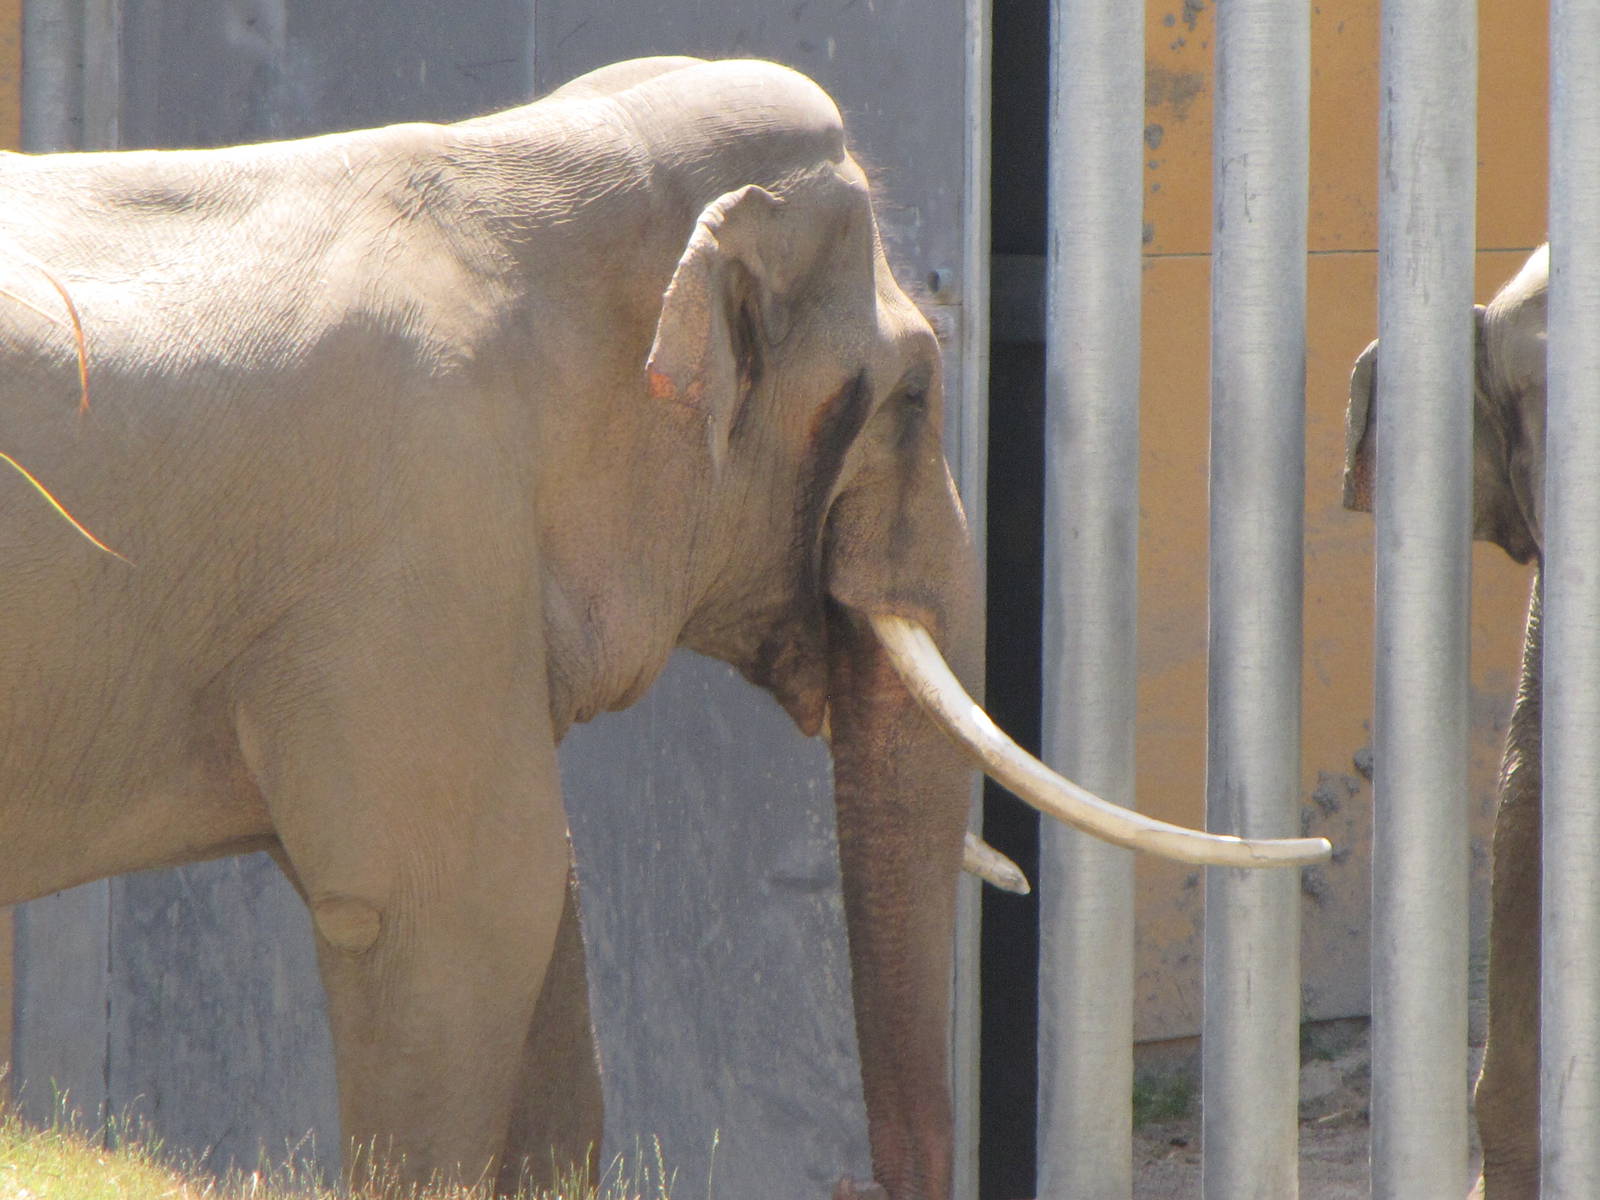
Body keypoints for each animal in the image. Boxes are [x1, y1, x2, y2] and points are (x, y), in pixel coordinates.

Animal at [0, 56, 1327, 1199]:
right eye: (911, 395)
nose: (851, 1182)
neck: (508, 161)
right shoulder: (414, 541)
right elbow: (456, 904)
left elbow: (544, 909)